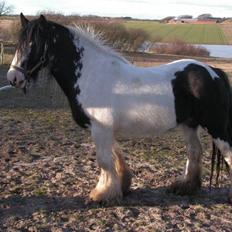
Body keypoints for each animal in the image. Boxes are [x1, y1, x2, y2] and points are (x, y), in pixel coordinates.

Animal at [6, 14, 232, 203]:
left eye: (33, 44)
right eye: (18, 43)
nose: (13, 78)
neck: (91, 74)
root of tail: (213, 71)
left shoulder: (100, 128)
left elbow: (104, 161)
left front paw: (101, 195)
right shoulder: (103, 130)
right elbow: (115, 157)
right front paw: (121, 186)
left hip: (216, 127)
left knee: (227, 153)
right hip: (189, 124)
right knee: (194, 151)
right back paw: (185, 187)